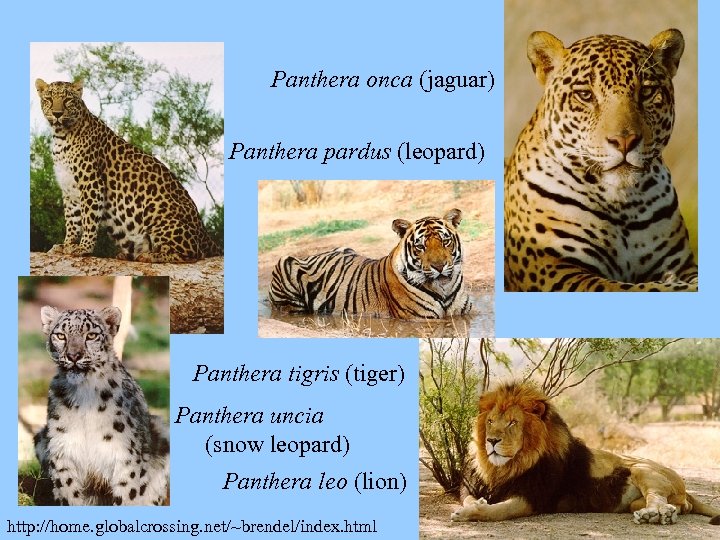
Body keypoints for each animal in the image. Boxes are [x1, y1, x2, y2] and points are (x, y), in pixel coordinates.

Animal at [34, 306, 169, 505]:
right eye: (60, 335)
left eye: (91, 335)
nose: (73, 356)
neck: (85, 396)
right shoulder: (62, 451)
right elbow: (68, 493)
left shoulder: (124, 457)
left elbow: (129, 495)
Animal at [35, 79, 221, 263]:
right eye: (49, 99)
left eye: (67, 100)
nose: (57, 114)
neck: (61, 136)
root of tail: (206, 236)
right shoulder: (68, 189)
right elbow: (72, 221)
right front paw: (66, 245)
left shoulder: (91, 183)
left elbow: (89, 219)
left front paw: (83, 248)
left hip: (156, 210)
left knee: (191, 253)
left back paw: (150, 256)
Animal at [504, 29, 698, 291]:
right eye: (585, 95)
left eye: (646, 93)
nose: (624, 141)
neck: (623, 205)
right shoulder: (556, 270)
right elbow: (639, 288)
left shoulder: (682, 264)